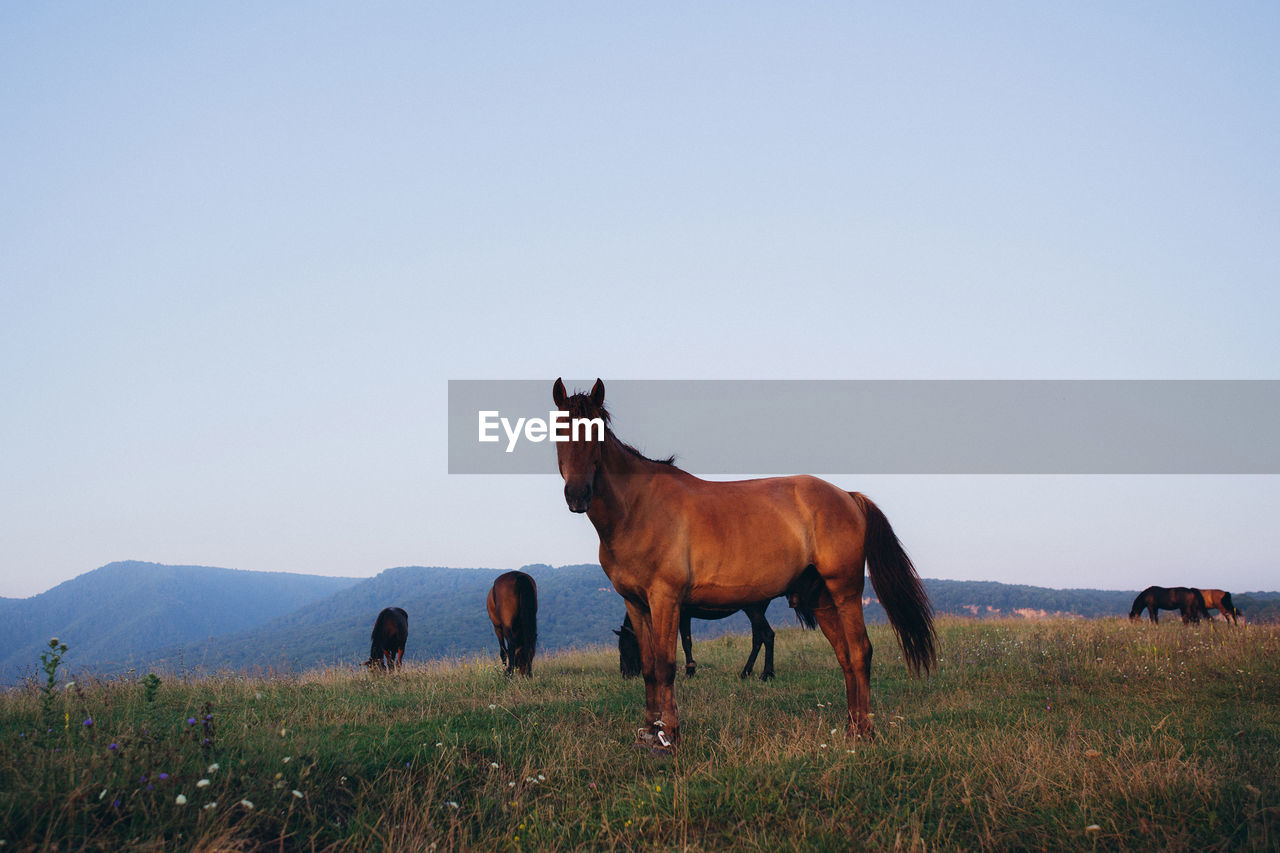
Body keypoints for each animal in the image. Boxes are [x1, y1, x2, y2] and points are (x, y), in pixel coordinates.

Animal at [616, 594, 793, 681]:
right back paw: (746, 672)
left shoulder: (683, 615)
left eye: (626, 646)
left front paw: (690, 671)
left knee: (767, 635)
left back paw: (767, 674)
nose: (625, 674)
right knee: (757, 639)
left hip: (753, 609)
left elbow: (686, 642)